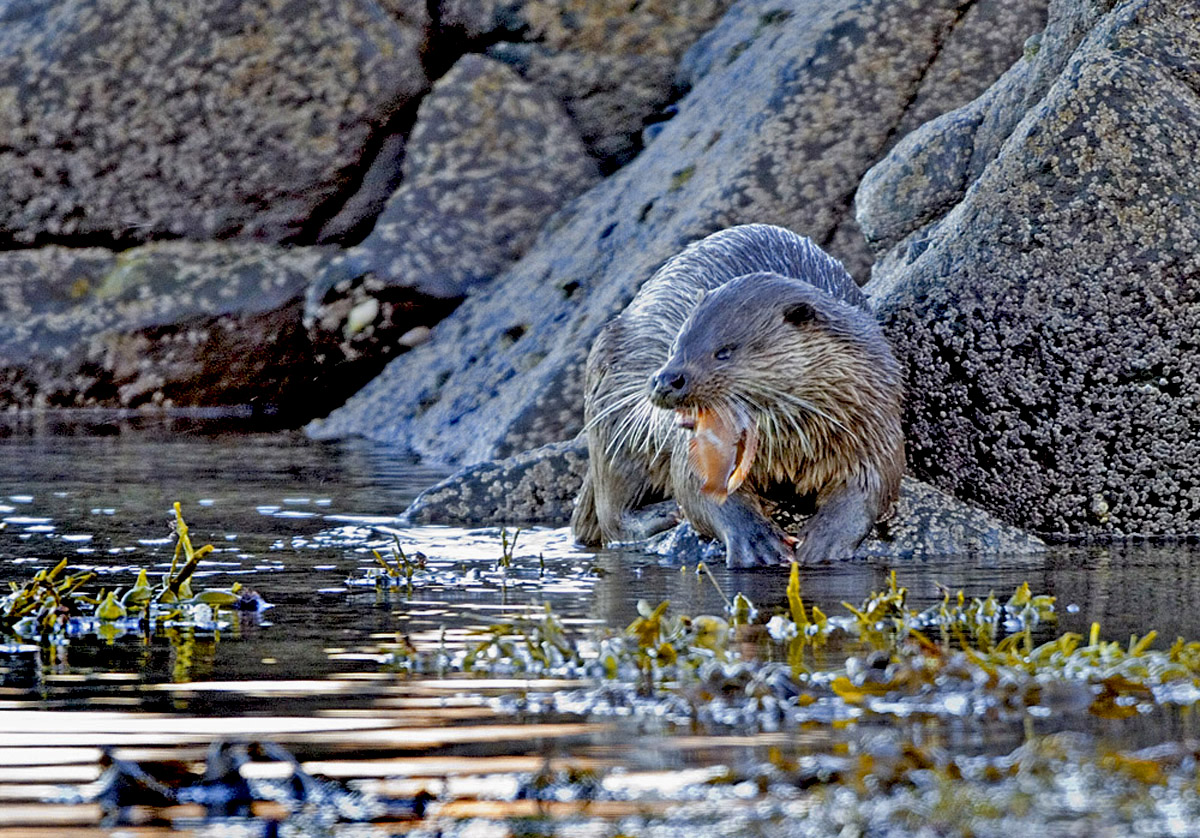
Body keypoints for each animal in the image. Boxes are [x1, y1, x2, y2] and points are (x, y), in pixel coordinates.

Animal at [570, 224, 903, 567]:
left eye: (724, 352)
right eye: (675, 345)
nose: (666, 380)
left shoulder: (873, 422)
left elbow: (872, 484)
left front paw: (826, 542)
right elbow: (697, 489)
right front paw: (757, 542)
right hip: (613, 419)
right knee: (612, 514)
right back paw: (666, 513)